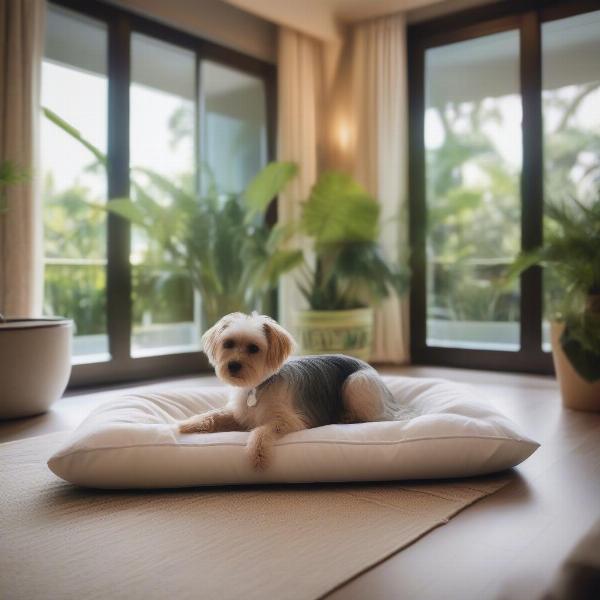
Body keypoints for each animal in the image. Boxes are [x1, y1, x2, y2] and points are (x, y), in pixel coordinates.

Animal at [178, 312, 394, 472]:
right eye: (228, 344)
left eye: (254, 348)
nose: (233, 366)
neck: (257, 386)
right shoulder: (241, 414)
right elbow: (216, 414)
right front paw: (191, 423)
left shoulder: (290, 421)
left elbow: (261, 430)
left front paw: (257, 454)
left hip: (357, 382)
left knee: (372, 416)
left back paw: (348, 417)